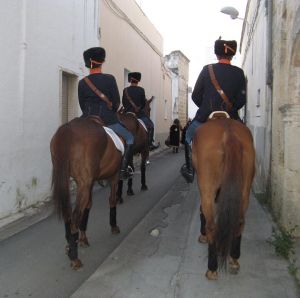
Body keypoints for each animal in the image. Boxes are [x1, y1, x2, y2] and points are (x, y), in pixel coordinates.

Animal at [51, 116, 122, 270]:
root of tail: (68, 128)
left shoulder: (89, 182)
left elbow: (88, 206)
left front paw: (83, 238)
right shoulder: (114, 176)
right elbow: (112, 200)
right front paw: (114, 226)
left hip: (69, 180)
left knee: (68, 213)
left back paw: (70, 246)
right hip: (85, 183)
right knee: (75, 216)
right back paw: (74, 258)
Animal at [193, 114, 254, 280]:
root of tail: (229, 134)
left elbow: (202, 210)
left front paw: (203, 236)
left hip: (207, 189)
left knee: (211, 225)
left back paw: (212, 268)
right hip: (244, 191)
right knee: (239, 221)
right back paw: (234, 259)